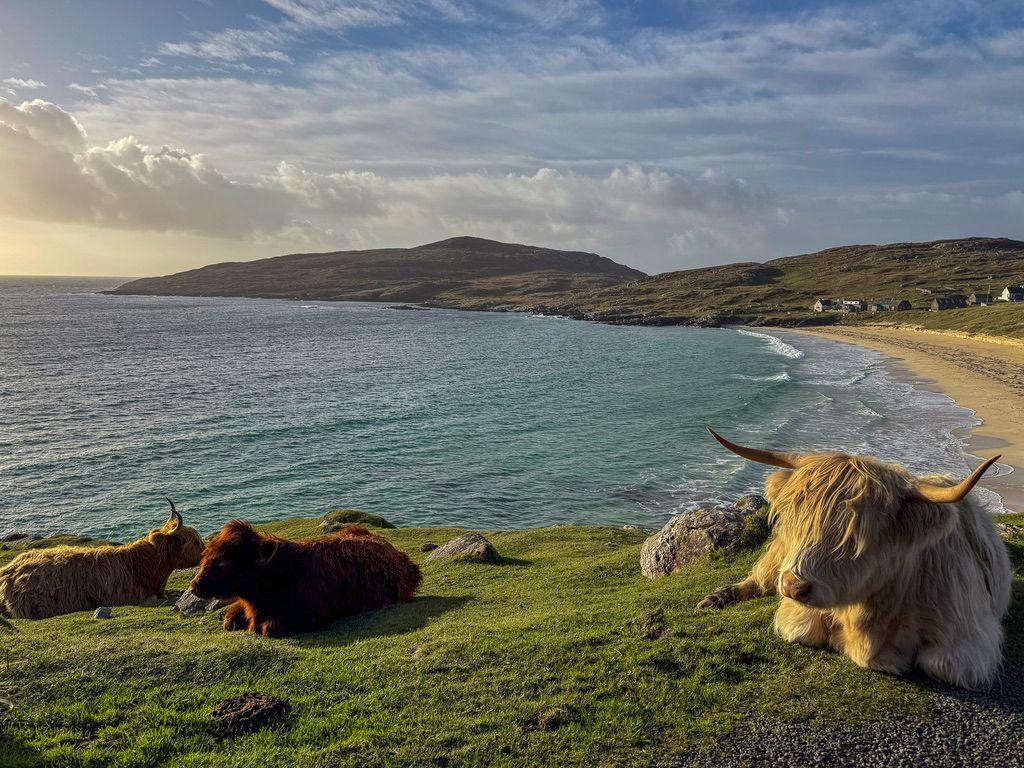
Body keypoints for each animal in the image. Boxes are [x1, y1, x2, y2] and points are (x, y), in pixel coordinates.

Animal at [192, 520, 419, 638]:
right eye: (207, 555)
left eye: (224, 561)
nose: (194, 586)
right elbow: (229, 618)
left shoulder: (305, 617)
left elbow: (267, 628)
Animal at [700, 428, 1011, 692]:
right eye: (794, 519)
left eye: (855, 535)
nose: (792, 586)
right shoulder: (797, 611)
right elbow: (801, 629)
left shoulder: (967, 640)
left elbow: (942, 665)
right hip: (778, 557)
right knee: (758, 579)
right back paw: (715, 599)